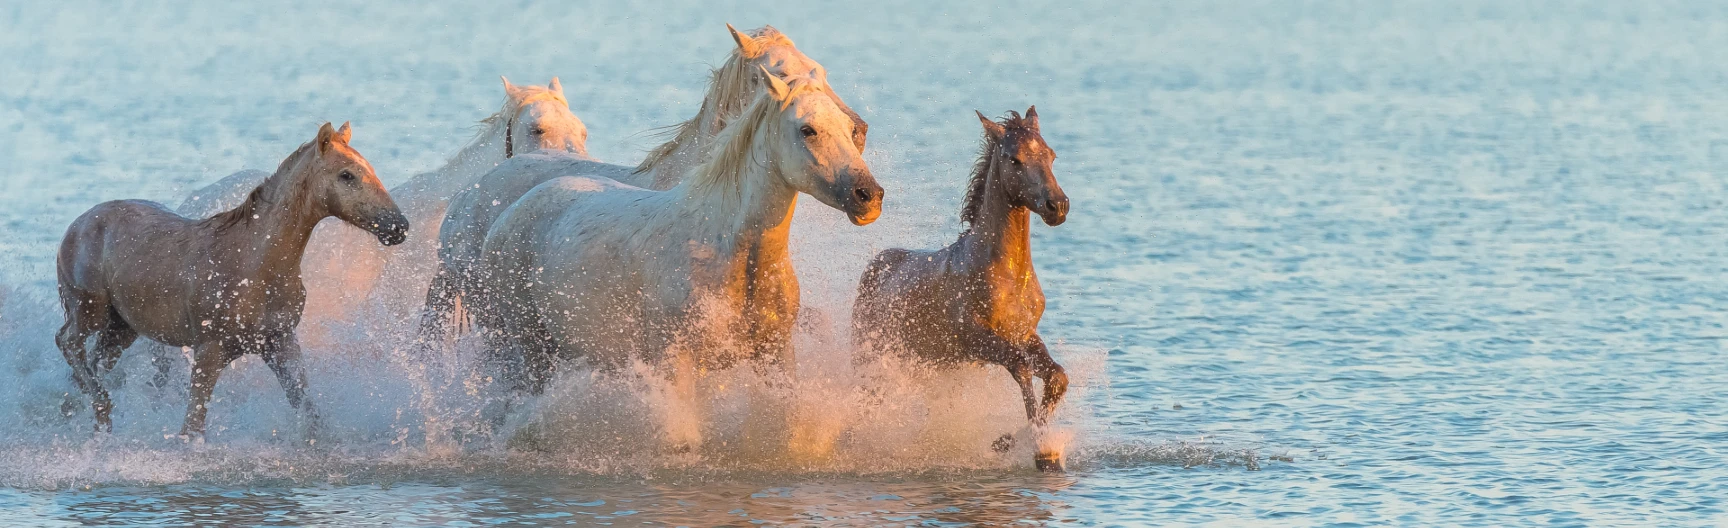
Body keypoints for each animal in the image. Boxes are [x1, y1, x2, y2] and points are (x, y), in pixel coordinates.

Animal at [54, 122, 407, 436]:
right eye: (346, 175)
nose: (399, 226)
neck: (256, 266)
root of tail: (76, 225)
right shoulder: (209, 349)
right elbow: (192, 428)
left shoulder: (280, 342)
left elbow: (310, 413)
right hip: (90, 309)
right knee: (67, 341)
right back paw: (102, 410)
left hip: (122, 328)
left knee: (94, 362)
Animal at [473, 69, 884, 448]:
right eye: (807, 129)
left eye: (850, 129)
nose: (868, 196)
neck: (728, 251)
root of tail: (508, 215)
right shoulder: (678, 364)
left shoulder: (775, 354)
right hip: (531, 346)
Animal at [850, 107, 1064, 469]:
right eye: (1015, 159)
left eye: (1051, 154)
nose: (1058, 206)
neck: (1007, 275)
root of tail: (873, 269)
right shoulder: (977, 339)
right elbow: (1021, 369)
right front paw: (1042, 451)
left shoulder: (1025, 334)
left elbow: (1057, 377)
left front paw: (1006, 442)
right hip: (871, 359)